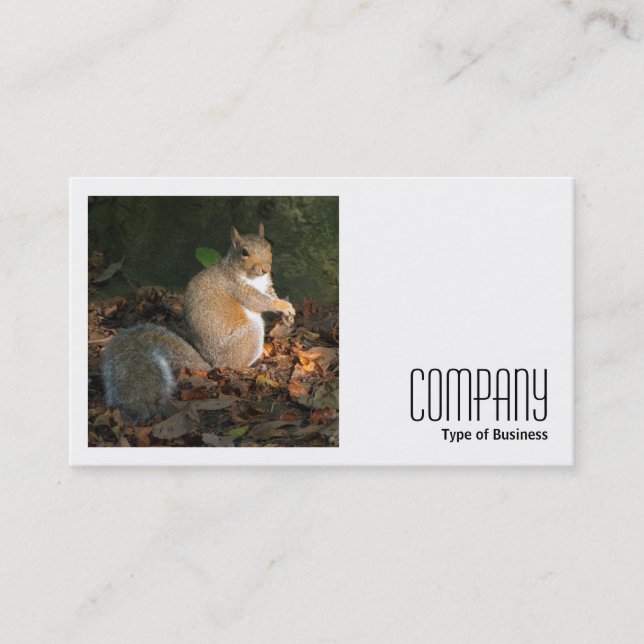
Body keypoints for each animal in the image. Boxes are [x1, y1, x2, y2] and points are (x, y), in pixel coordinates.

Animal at [100, 224, 296, 423]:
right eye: (244, 252)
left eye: (270, 248)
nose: (265, 268)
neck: (254, 278)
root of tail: (212, 364)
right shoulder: (236, 287)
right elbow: (259, 301)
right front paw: (281, 305)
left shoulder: (266, 286)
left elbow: (270, 295)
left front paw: (288, 314)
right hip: (248, 336)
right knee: (234, 365)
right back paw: (250, 366)